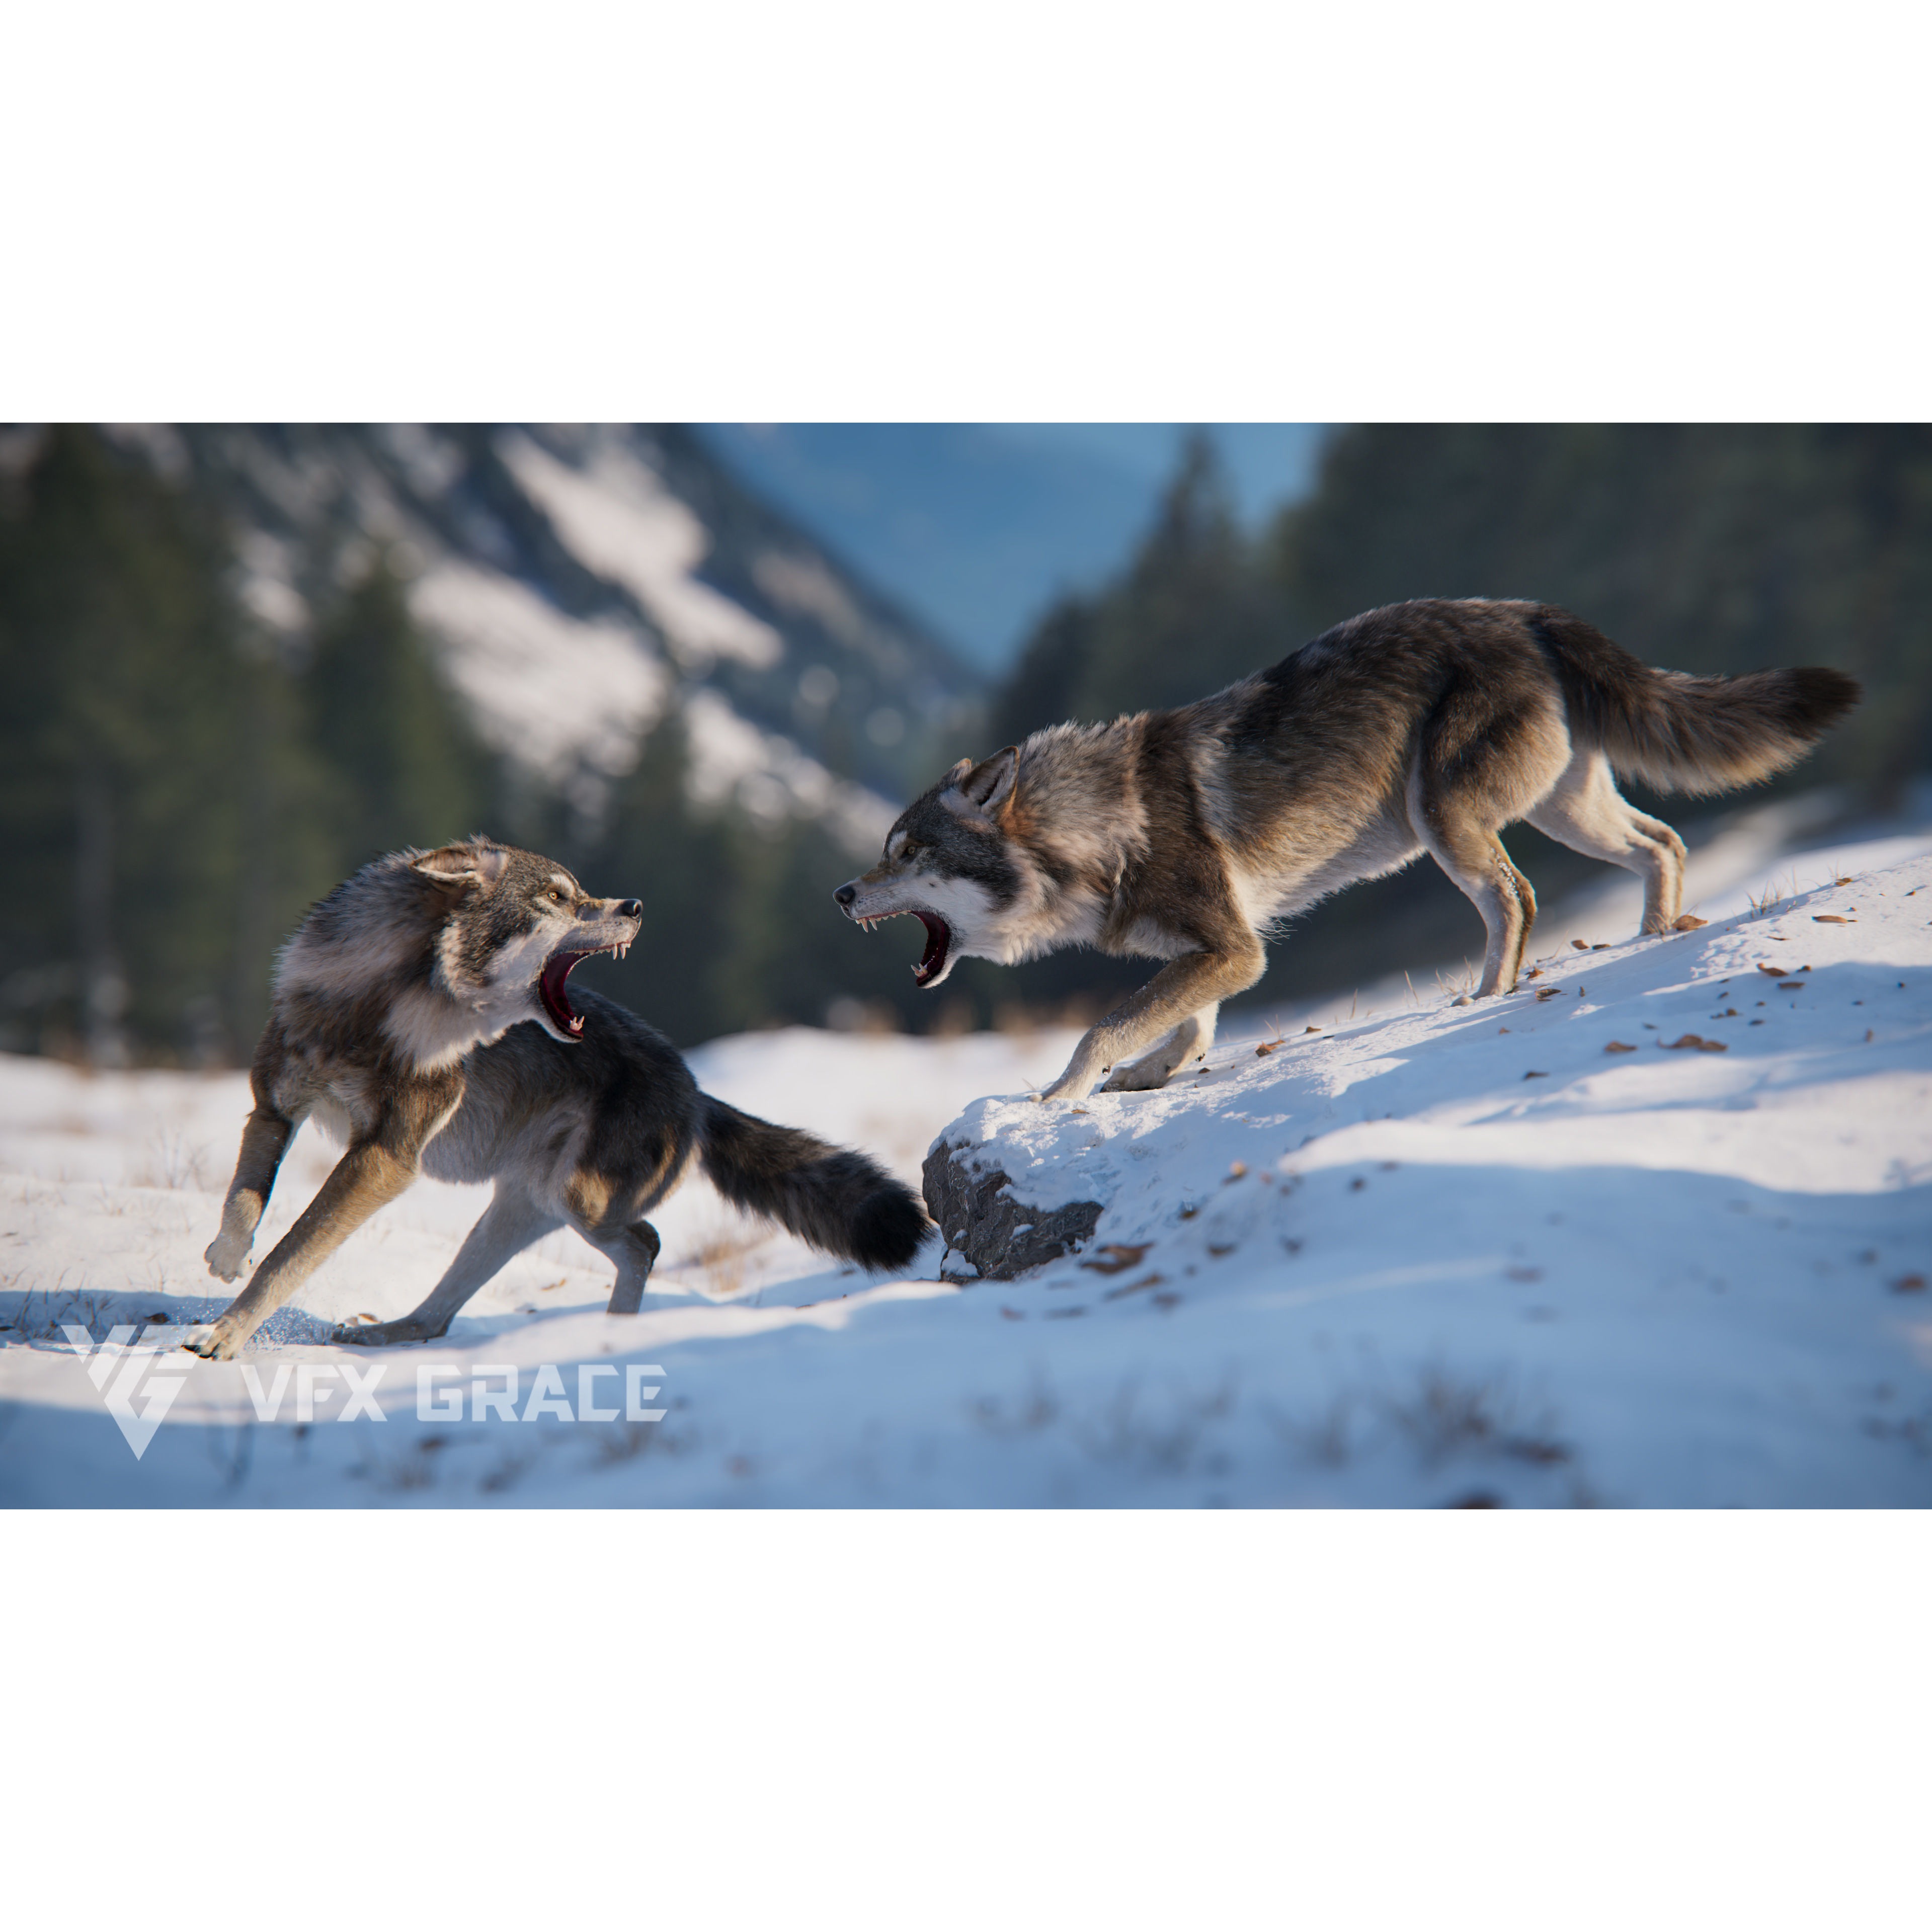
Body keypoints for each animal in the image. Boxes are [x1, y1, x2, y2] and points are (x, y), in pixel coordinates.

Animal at [185, 839, 928, 1360]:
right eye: (558, 897)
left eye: (580, 892)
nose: (635, 908)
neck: (378, 1009)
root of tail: (696, 1090)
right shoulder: (275, 1108)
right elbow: (246, 1201)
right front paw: (225, 1258)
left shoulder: (386, 1159)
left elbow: (291, 1254)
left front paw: (223, 1338)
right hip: (518, 1211)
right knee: (438, 1318)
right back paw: (385, 1331)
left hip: (578, 1202)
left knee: (645, 1243)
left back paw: (613, 1339)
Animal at [835, 598, 1860, 1104]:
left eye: (904, 852)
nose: (842, 895)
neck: (1095, 830)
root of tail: (1528, 612)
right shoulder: (1226, 952)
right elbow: (1187, 1028)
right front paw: (1149, 1077)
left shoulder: (1232, 948)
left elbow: (1103, 1025)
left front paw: (1062, 1093)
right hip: (1563, 812)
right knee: (1664, 844)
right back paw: (1649, 942)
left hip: (1448, 823)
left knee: (1518, 899)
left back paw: (1486, 998)